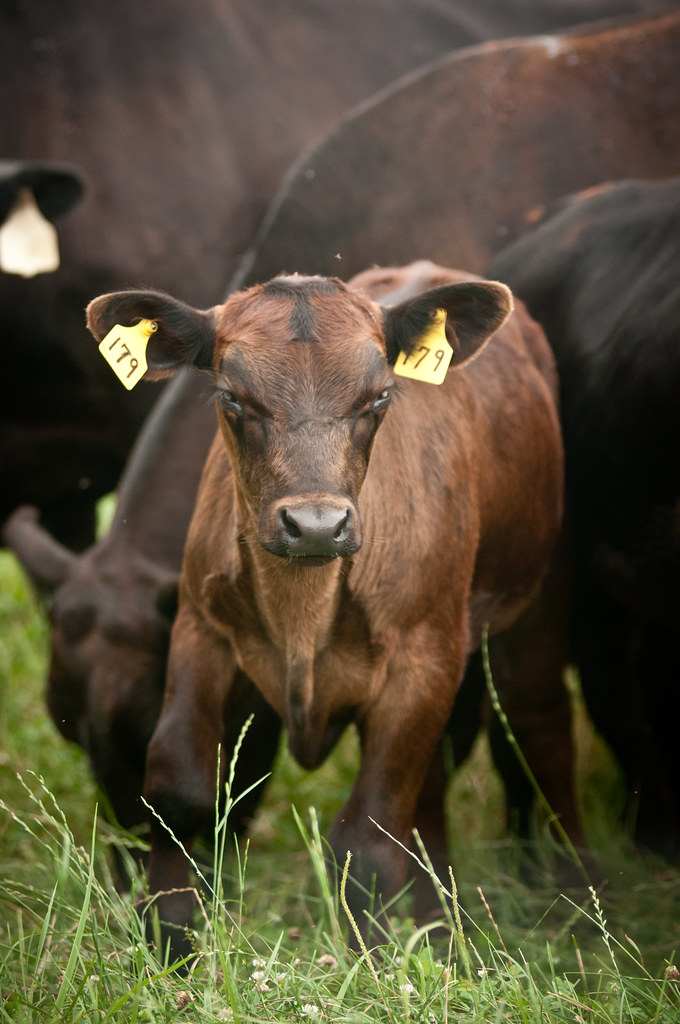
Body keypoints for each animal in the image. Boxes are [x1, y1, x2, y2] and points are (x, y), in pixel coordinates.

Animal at [84, 260, 574, 953]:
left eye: (380, 398)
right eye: (232, 398)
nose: (316, 525)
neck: (302, 614)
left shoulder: (423, 659)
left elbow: (368, 838)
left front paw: (373, 961)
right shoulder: (200, 629)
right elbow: (179, 788)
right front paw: (169, 938)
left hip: (535, 593)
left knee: (537, 721)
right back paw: (435, 921)